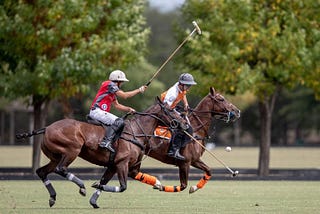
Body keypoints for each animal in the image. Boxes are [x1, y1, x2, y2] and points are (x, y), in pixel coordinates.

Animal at [16, 98, 185, 208]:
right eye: (171, 110)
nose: (184, 123)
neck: (136, 132)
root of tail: (46, 128)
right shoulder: (122, 164)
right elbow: (122, 187)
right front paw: (94, 185)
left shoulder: (120, 167)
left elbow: (106, 181)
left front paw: (94, 200)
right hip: (72, 150)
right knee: (61, 169)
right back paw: (81, 186)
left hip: (55, 157)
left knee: (42, 171)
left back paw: (52, 197)